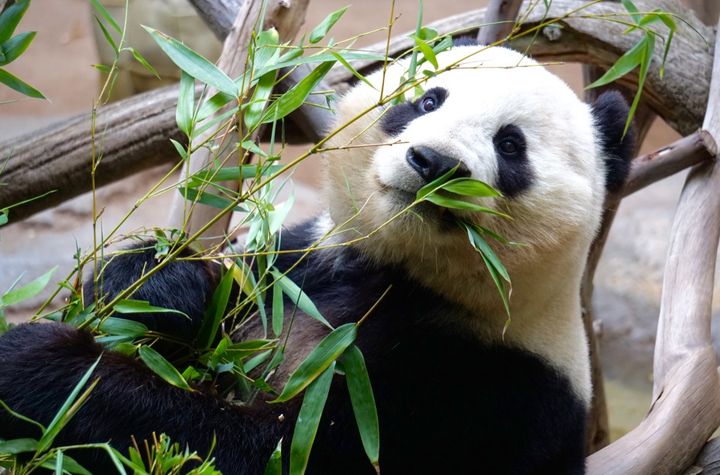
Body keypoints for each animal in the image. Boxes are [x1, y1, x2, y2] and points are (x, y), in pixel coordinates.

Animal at [0, 43, 633, 475]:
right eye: (427, 98)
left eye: (510, 144)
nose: (433, 162)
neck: (406, 275)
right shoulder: (305, 264)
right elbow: (219, 289)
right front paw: (164, 290)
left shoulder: (487, 390)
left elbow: (261, 451)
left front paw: (40, 367)